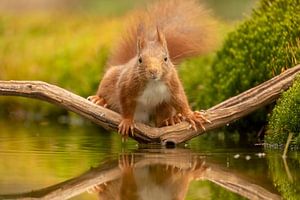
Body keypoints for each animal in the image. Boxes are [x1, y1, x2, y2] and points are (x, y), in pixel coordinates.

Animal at [87, 0, 216, 136]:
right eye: (140, 60)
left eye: (166, 58)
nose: (153, 71)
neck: (154, 83)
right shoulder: (127, 86)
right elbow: (126, 104)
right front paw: (127, 121)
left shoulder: (173, 84)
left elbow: (181, 100)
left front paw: (191, 115)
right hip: (109, 79)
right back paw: (100, 100)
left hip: (163, 107)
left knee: (160, 122)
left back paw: (171, 120)